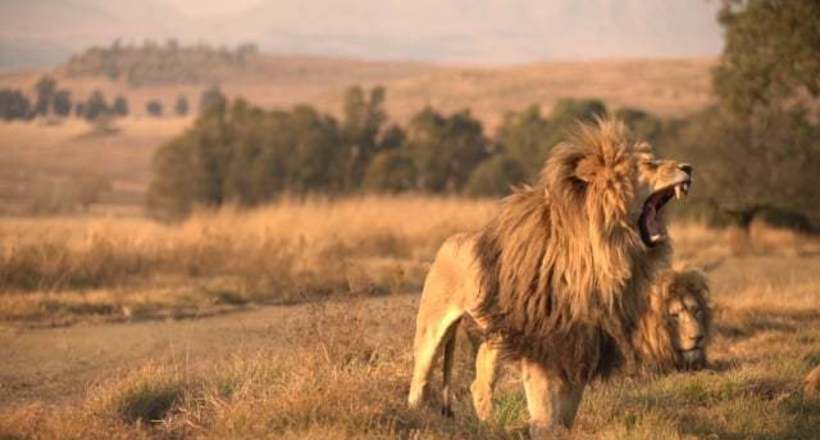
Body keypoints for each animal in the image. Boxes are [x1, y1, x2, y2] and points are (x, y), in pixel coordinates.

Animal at [406, 117, 692, 436]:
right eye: (650, 164)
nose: (689, 167)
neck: (603, 253)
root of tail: (449, 241)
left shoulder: (581, 339)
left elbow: (569, 403)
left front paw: (564, 430)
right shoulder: (543, 336)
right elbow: (544, 400)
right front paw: (544, 430)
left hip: (495, 334)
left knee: (479, 383)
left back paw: (490, 426)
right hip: (433, 327)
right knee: (420, 378)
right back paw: (416, 417)